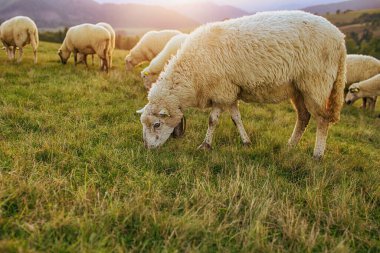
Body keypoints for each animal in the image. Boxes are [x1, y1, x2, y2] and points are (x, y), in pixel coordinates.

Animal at [138, 11, 346, 160]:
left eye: (157, 124)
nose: (147, 149)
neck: (192, 74)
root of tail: (340, 38)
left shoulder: (221, 90)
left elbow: (212, 120)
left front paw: (205, 145)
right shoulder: (230, 92)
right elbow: (236, 118)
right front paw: (246, 142)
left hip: (316, 83)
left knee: (322, 119)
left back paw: (317, 155)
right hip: (298, 88)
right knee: (303, 117)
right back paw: (290, 146)